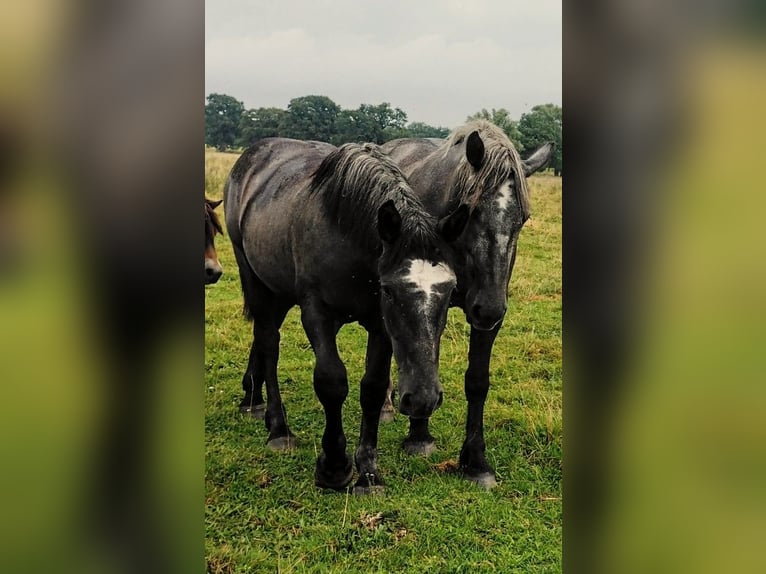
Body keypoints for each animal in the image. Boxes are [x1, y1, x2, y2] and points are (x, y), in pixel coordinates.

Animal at [225, 140, 472, 496]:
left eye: (451, 289)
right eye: (389, 290)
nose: (422, 399)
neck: (345, 234)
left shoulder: (380, 327)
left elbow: (373, 389)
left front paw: (368, 473)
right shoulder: (317, 314)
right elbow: (331, 381)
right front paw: (334, 468)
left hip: (279, 290)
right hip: (255, 281)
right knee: (269, 344)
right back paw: (279, 429)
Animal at [382, 121, 552, 490]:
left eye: (523, 219)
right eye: (471, 212)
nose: (487, 307)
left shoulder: (490, 316)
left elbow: (477, 381)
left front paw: (476, 462)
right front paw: (419, 435)